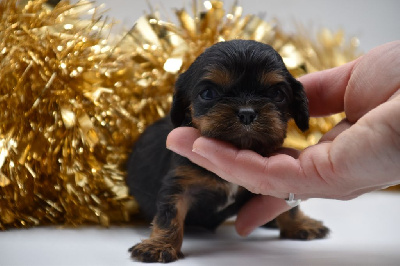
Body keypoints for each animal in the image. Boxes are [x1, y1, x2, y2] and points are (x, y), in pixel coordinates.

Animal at [127, 39, 328, 262]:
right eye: (208, 93)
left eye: (277, 94)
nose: (247, 113)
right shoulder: (179, 183)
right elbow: (169, 214)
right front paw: (159, 245)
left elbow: (288, 207)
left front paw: (299, 224)